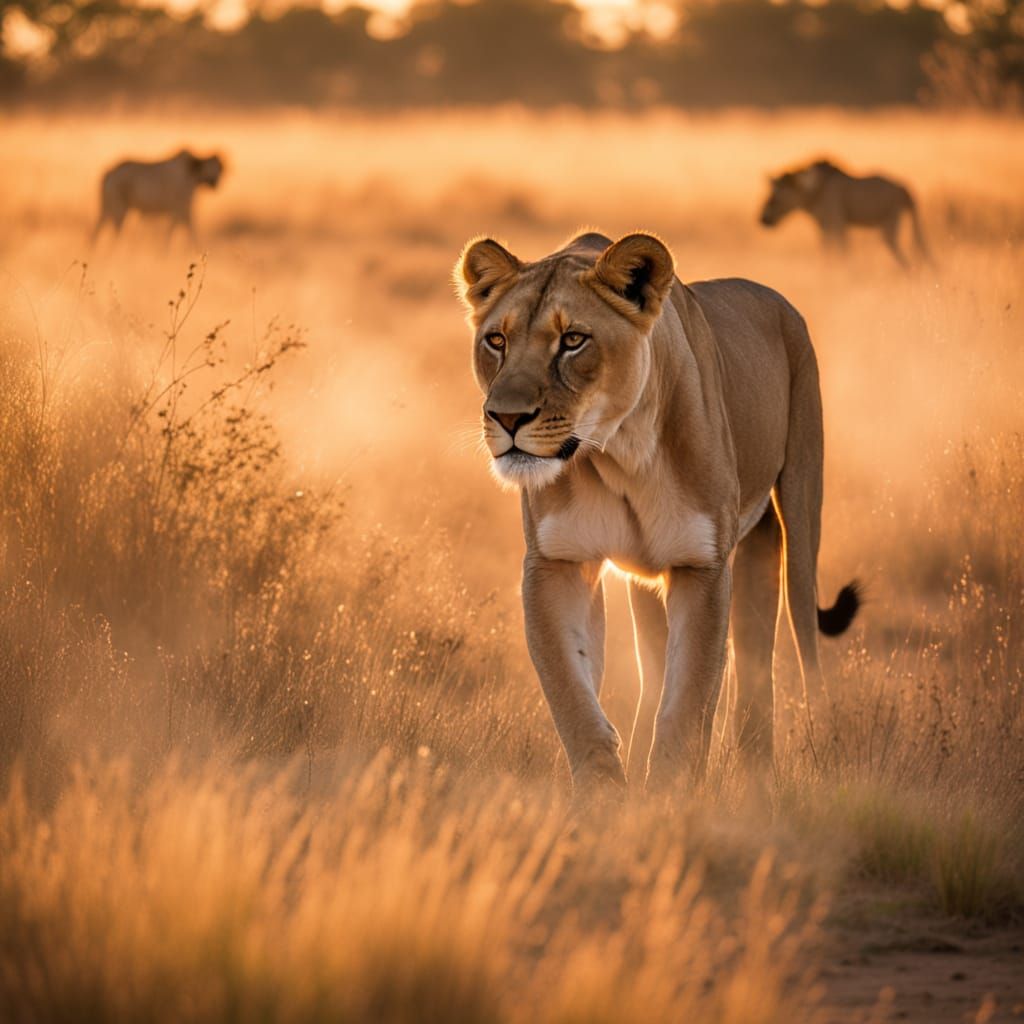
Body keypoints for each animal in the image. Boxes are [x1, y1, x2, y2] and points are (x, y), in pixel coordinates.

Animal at [92, 149, 224, 246]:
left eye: (219, 168)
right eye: (208, 167)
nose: (215, 182)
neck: (191, 175)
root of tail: (109, 173)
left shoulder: (183, 209)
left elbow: (186, 231)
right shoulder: (179, 208)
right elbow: (177, 231)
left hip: (106, 208)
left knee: (96, 231)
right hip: (119, 209)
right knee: (115, 234)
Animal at [456, 230, 860, 795]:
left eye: (573, 340)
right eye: (497, 340)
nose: (506, 417)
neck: (616, 454)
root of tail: (774, 297)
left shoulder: (701, 564)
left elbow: (687, 703)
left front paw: (668, 796)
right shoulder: (558, 562)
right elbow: (573, 697)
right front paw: (605, 796)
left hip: (800, 518)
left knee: (801, 652)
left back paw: (807, 764)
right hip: (675, 570)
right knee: (735, 664)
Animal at [760, 159, 930, 267]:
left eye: (778, 195)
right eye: (772, 192)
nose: (763, 219)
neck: (816, 192)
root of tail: (903, 189)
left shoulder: (838, 224)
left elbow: (843, 255)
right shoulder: (824, 227)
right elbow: (827, 254)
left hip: (889, 226)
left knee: (906, 260)